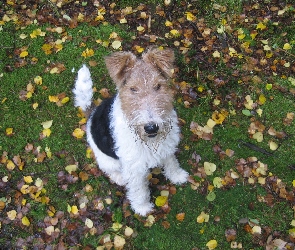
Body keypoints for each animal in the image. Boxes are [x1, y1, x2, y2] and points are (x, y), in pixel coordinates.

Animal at [74, 47, 190, 216]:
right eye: (133, 89)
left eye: (158, 86)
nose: (151, 127)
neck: (149, 142)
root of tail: (91, 113)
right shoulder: (134, 168)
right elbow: (139, 190)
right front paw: (142, 208)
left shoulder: (167, 146)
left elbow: (171, 163)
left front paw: (178, 176)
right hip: (106, 159)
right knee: (109, 170)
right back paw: (120, 178)